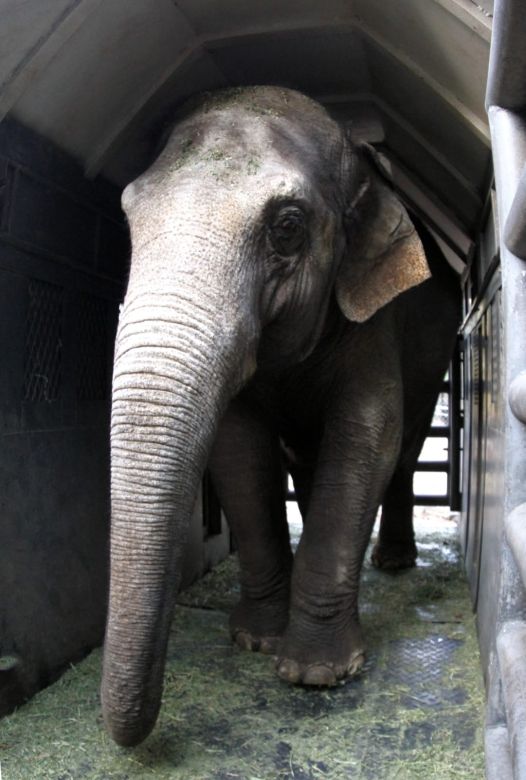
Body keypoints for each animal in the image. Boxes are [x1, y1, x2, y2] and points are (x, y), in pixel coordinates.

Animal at [101, 82, 464, 748]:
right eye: (128, 217)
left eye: (288, 228)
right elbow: (239, 450)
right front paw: (255, 641)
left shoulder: (374, 320)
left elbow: (369, 435)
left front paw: (317, 673)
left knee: (403, 449)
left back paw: (394, 563)